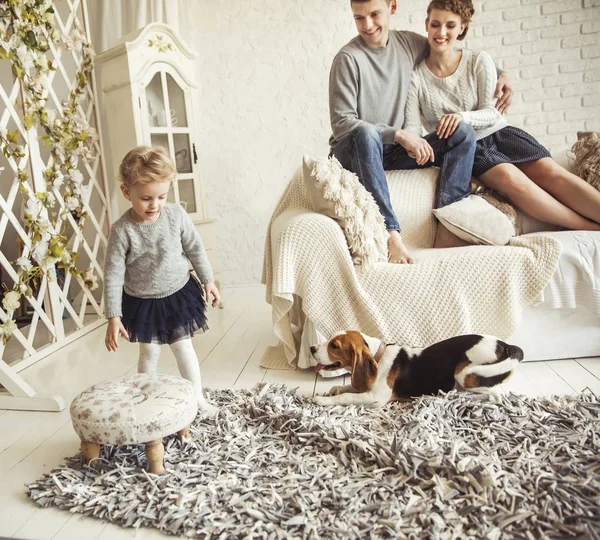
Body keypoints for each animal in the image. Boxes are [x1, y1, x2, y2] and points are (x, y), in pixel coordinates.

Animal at [312, 332, 524, 408]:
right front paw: (336, 389)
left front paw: (322, 400)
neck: (379, 357)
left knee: (493, 394)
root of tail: (506, 346)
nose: (312, 348)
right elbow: (348, 388)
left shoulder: (376, 398)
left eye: (334, 345)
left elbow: (346, 397)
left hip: (465, 373)